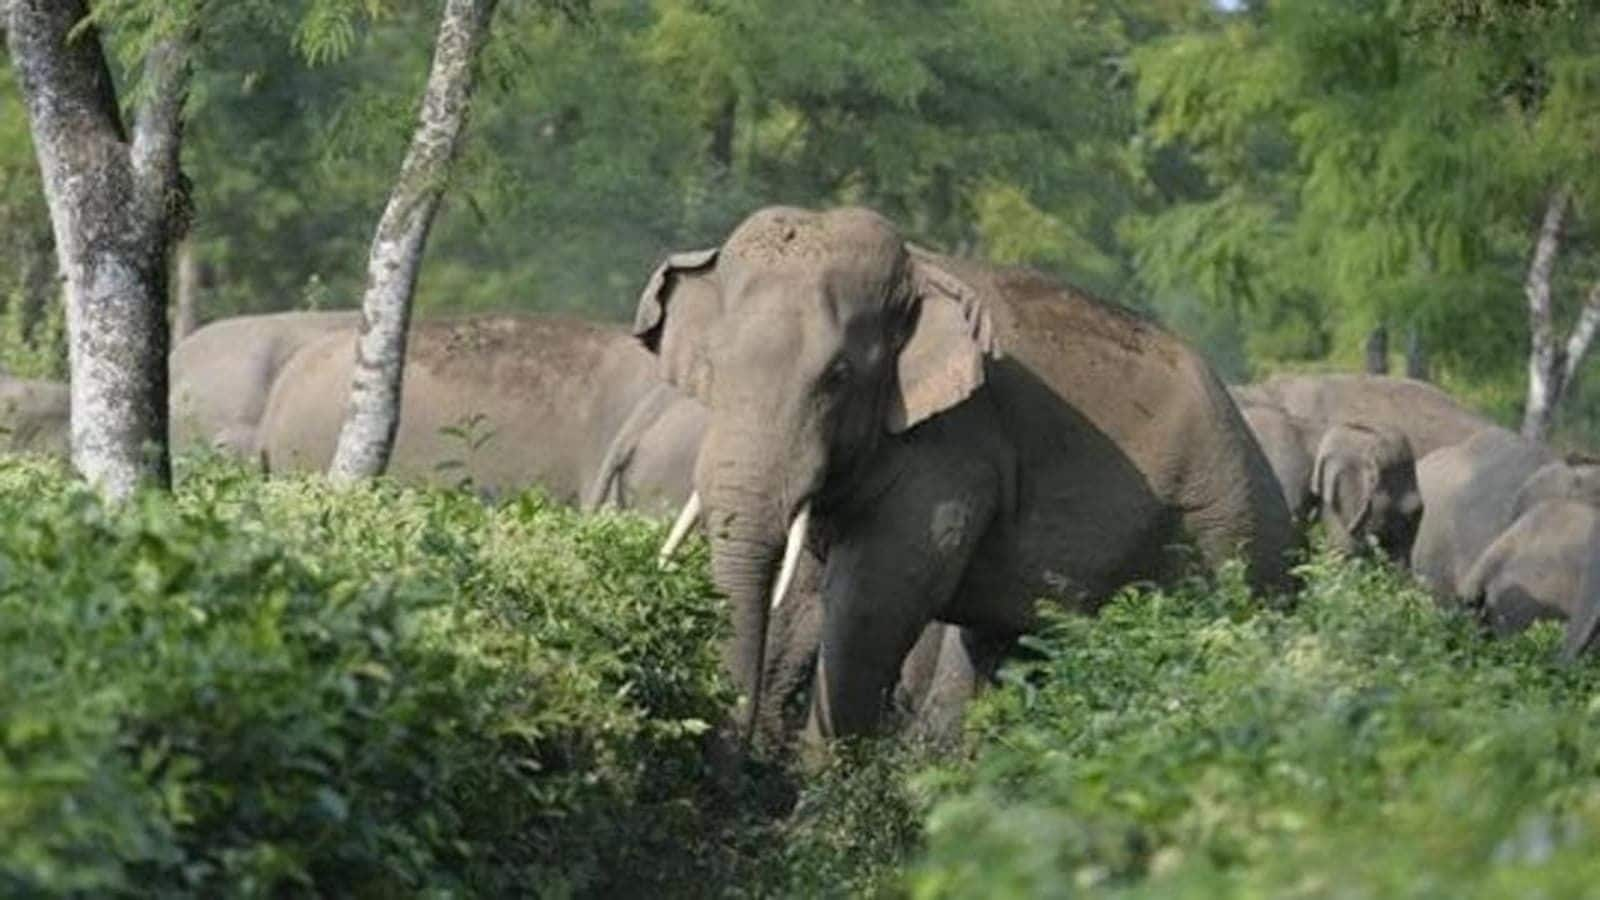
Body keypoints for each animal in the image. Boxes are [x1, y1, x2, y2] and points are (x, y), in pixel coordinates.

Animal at [636, 204, 1299, 743]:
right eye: (712, 366)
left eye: (838, 377)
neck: (919, 271)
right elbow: (819, 600)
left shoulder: (954, 447)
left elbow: (870, 605)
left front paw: (824, 801)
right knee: (1005, 655)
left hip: (1226, 537)